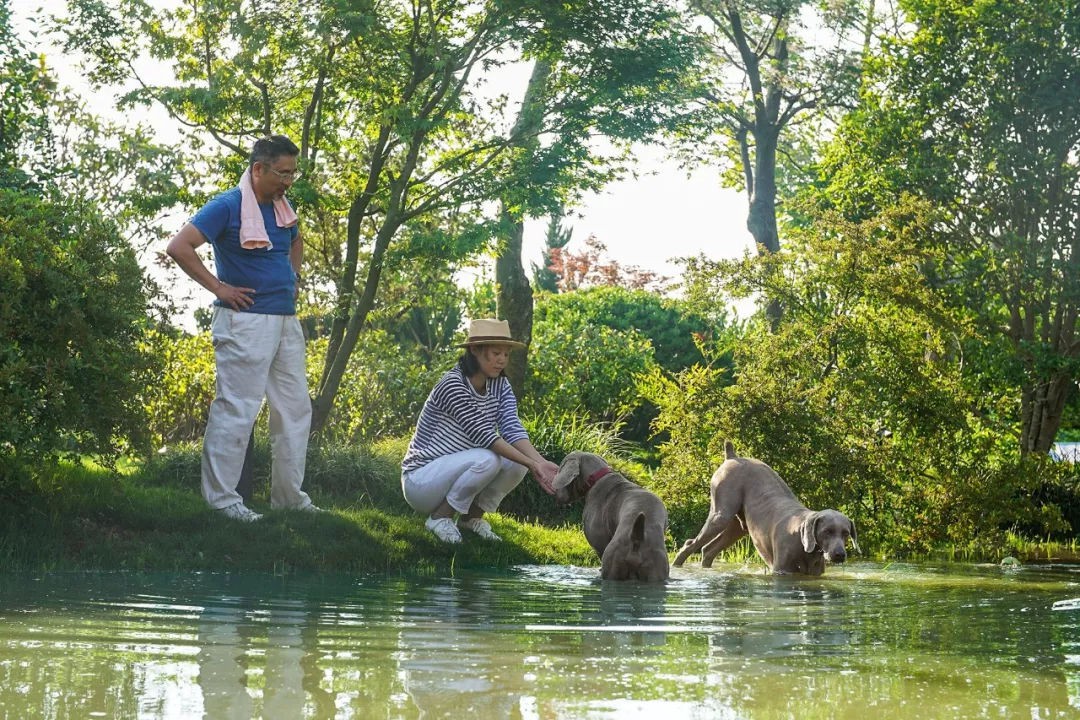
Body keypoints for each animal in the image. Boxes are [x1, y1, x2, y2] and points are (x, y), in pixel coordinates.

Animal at [673, 440, 859, 574]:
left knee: (708, 549)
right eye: (827, 531)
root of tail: (732, 456)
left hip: (739, 526)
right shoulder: (781, 571)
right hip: (721, 513)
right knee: (690, 544)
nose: (840, 555)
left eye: (846, 533)